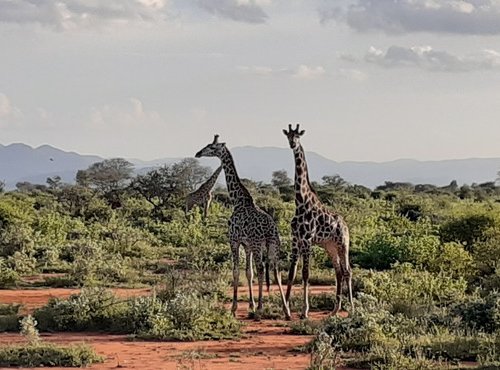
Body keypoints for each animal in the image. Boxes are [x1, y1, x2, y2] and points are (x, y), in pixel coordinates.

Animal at [194, 134, 292, 320]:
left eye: (212, 147)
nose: (198, 153)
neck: (237, 201)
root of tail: (270, 230)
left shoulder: (234, 241)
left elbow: (236, 271)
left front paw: (234, 308)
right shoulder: (246, 245)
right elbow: (248, 272)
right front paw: (250, 305)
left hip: (258, 244)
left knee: (262, 269)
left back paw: (261, 309)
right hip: (274, 245)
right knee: (276, 271)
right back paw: (286, 310)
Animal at [284, 123, 354, 318]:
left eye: (298, 136)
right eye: (288, 136)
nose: (292, 144)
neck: (300, 201)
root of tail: (345, 225)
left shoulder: (307, 240)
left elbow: (305, 273)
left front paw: (304, 311)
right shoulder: (295, 239)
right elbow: (291, 273)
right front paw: (286, 309)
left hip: (343, 243)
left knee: (348, 271)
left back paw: (353, 309)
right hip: (330, 247)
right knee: (339, 272)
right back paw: (335, 310)